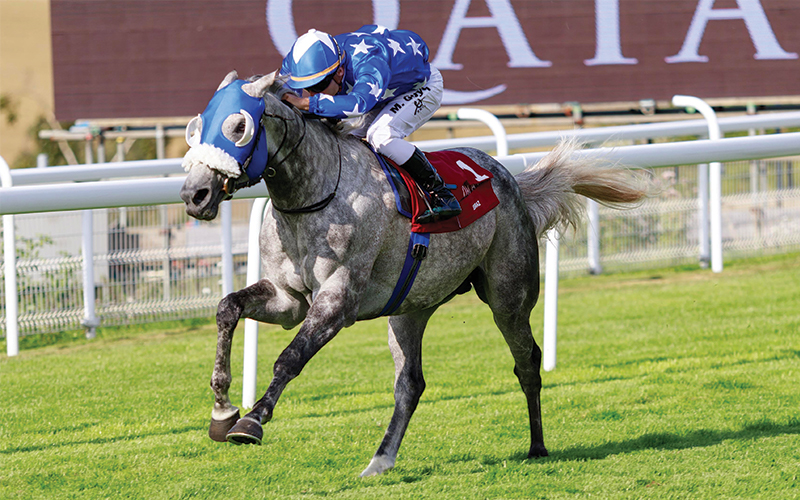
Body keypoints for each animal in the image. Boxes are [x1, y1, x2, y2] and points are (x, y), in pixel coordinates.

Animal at [179, 70, 648, 477]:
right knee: (410, 384)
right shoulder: (287, 299)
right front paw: (222, 410)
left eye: (238, 126)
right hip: (409, 307)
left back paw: (537, 445)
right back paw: (380, 460)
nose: (193, 194)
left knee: (527, 360)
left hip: (508, 296)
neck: (314, 194)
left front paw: (252, 419)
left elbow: (290, 357)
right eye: (196, 127)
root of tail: (509, 179)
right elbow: (227, 308)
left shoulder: (338, 300)